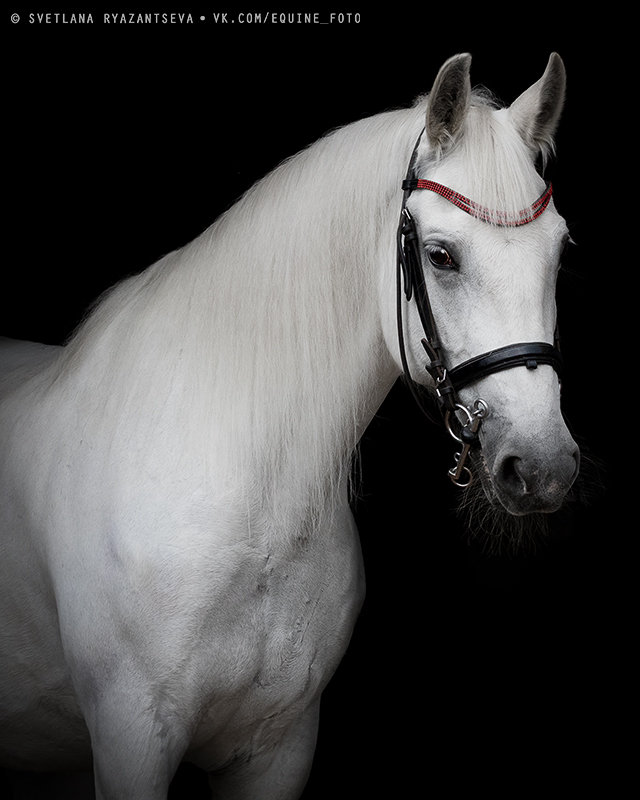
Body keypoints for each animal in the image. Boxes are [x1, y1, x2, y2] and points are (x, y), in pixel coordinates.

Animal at [0, 53, 580, 796]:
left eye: (559, 252)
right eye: (442, 256)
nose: (542, 467)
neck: (256, 514)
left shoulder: (281, 747)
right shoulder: (131, 740)